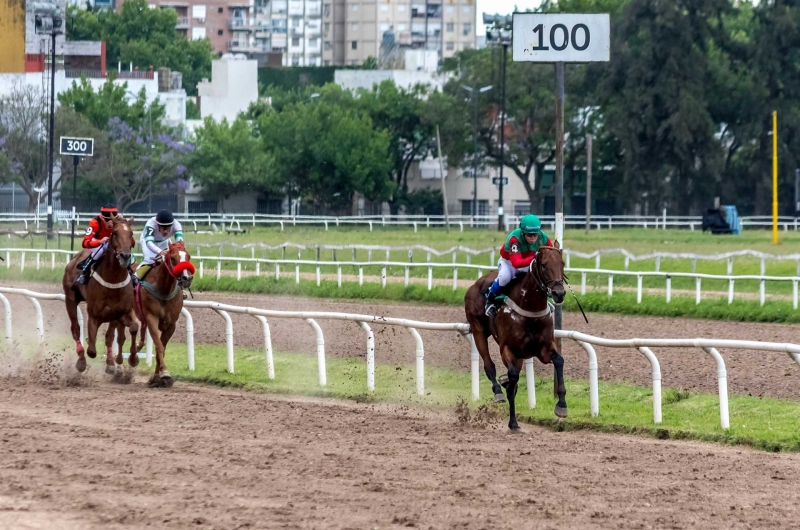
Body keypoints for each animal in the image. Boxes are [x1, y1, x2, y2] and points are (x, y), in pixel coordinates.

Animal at [62, 214, 141, 372]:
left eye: (131, 234)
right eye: (115, 233)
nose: (125, 256)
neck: (113, 280)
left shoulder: (121, 312)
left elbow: (131, 328)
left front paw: (132, 359)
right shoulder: (94, 315)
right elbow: (92, 349)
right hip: (70, 299)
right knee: (75, 328)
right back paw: (81, 360)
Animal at [135, 241, 195, 386]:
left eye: (189, 256)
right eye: (173, 258)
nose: (187, 278)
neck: (163, 289)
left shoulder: (171, 324)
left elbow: (161, 349)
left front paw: (158, 377)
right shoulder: (152, 318)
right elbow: (159, 346)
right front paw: (165, 373)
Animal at [462, 242, 568, 428]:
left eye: (562, 263)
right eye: (544, 265)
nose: (559, 293)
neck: (530, 308)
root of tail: (475, 285)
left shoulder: (543, 348)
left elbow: (558, 360)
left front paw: (561, 405)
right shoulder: (508, 348)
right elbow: (512, 379)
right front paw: (512, 422)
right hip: (478, 329)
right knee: (489, 365)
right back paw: (498, 391)